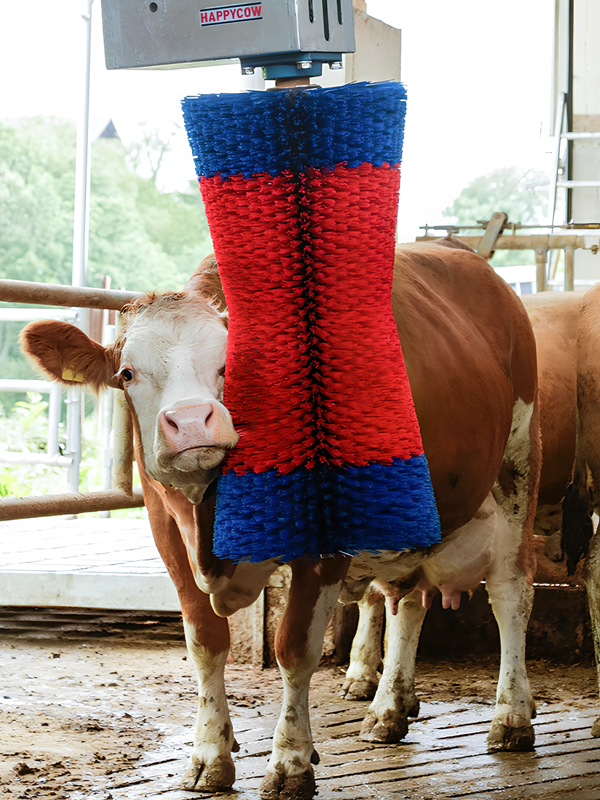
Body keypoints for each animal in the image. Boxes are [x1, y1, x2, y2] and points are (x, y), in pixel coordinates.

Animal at [21, 241, 541, 799]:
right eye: (127, 374)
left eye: (231, 364)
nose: (190, 422)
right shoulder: (166, 528)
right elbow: (205, 643)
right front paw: (209, 753)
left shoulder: (328, 537)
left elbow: (294, 648)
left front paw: (290, 762)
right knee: (406, 599)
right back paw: (388, 710)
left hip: (519, 462)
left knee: (511, 590)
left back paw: (511, 717)